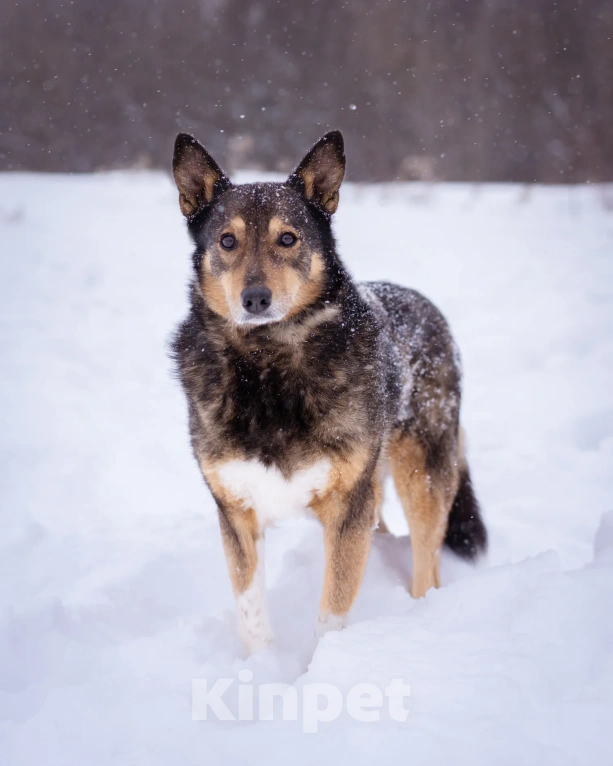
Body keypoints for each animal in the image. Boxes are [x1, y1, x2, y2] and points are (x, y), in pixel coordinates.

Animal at [170, 130, 486, 656]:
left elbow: (332, 613)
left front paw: (322, 669)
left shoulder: (347, 509)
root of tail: (424, 303)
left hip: (420, 474)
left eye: (288, 238)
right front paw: (263, 669)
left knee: (428, 563)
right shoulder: (236, 511)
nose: (255, 299)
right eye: (227, 241)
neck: (268, 365)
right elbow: (251, 612)